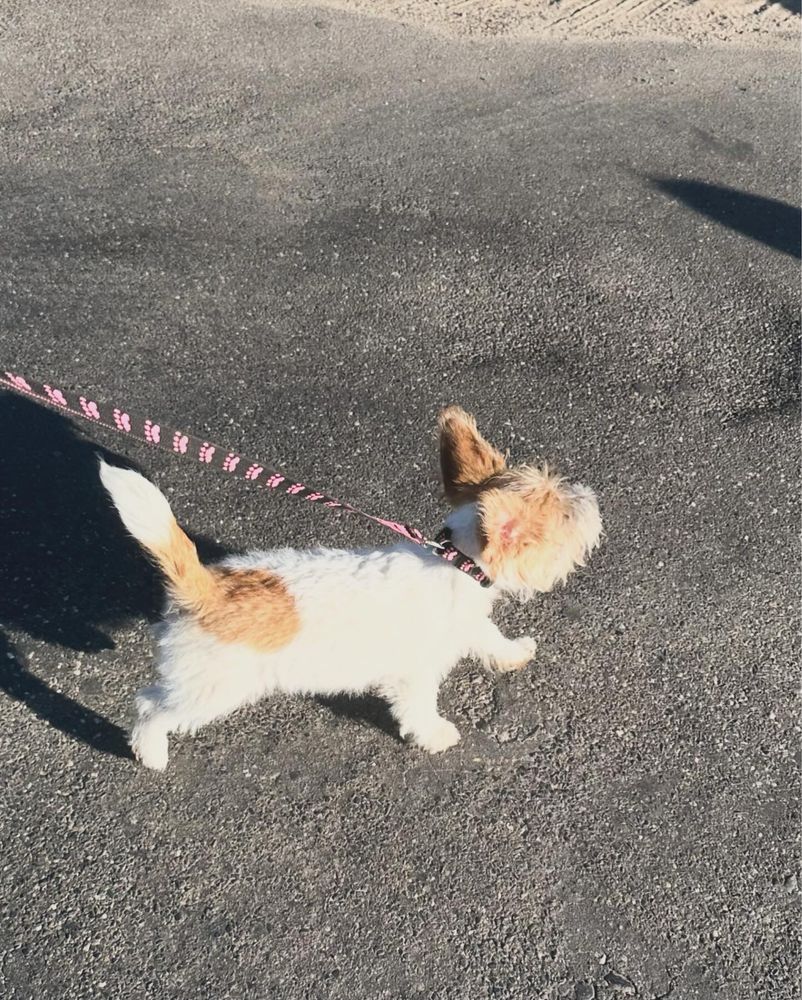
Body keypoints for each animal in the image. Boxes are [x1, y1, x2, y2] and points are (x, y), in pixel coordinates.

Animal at [98, 404, 600, 764]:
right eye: (565, 516)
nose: (591, 498)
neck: (456, 563)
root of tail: (206, 586)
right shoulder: (415, 673)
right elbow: (419, 706)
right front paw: (436, 735)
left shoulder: (471, 622)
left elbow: (490, 637)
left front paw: (513, 653)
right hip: (211, 689)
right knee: (151, 707)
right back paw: (152, 753)